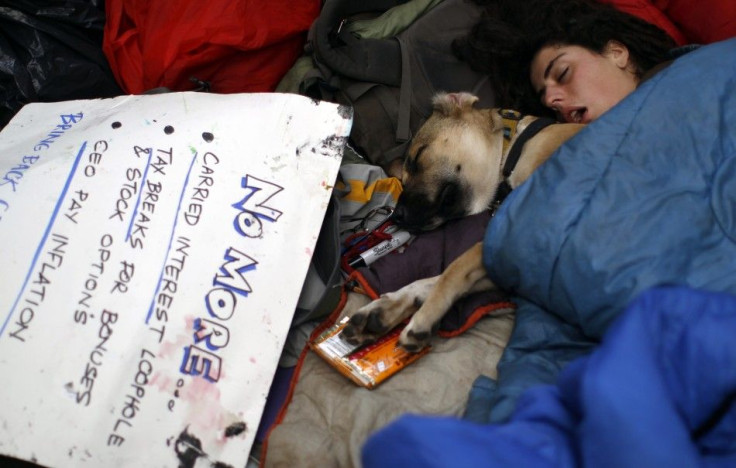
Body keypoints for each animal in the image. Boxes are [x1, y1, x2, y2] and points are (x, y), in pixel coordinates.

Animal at [342, 92, 584, 352]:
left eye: (417, 157)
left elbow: (453, 269)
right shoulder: (511, 264)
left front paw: (423, 316)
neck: (513, 150)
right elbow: (433, 280)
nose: (396, 215)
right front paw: (388, 307)